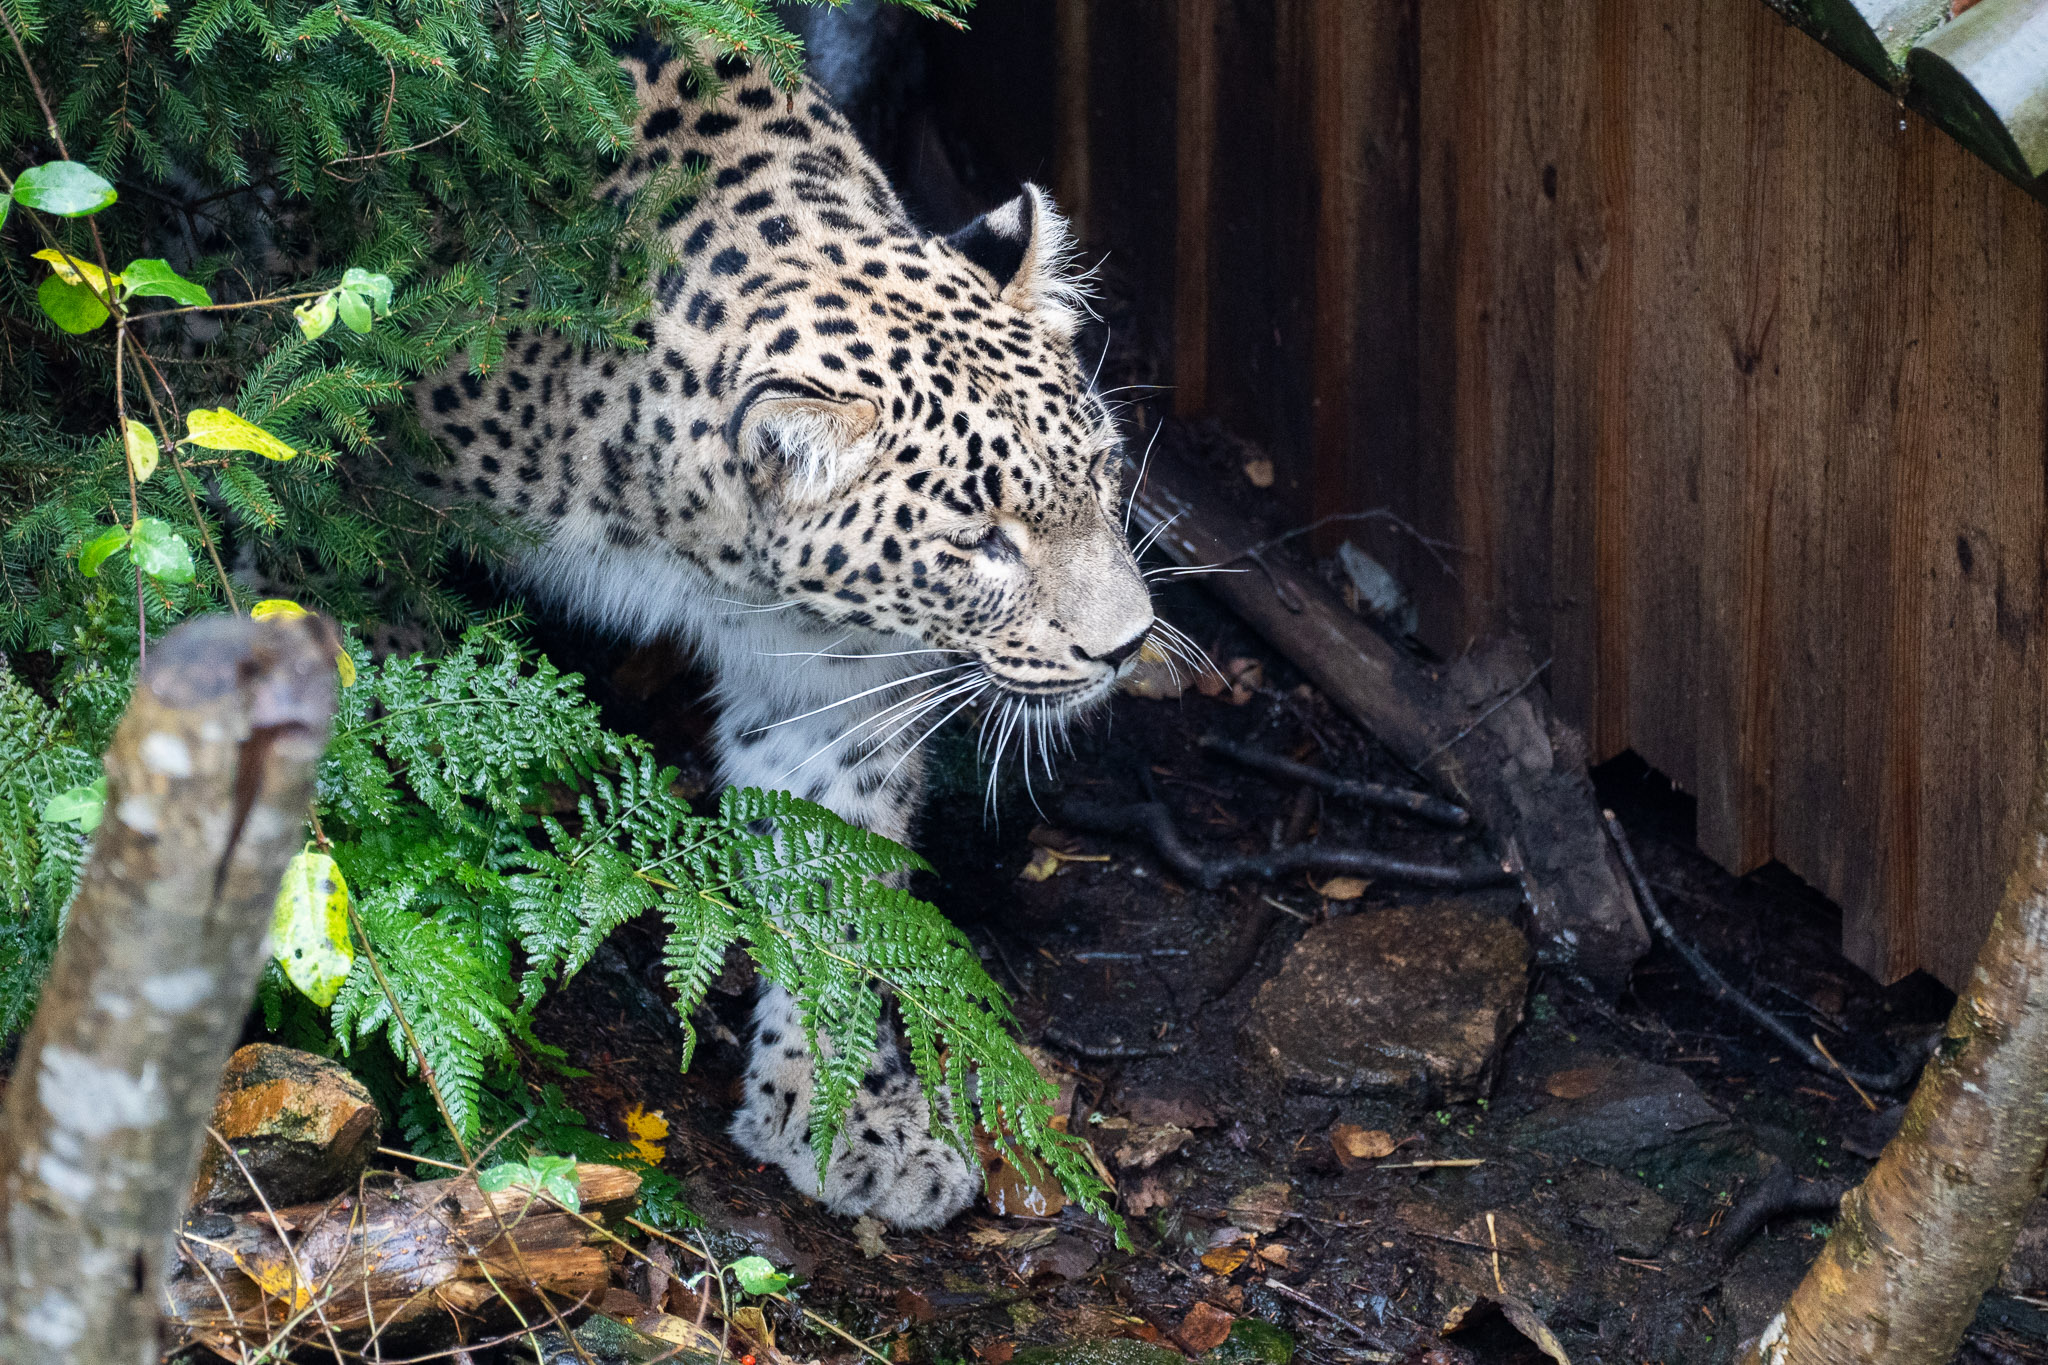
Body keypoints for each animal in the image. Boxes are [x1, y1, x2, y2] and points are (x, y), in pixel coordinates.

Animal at [415, 38, 1155, 1231]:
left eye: (1099, 471)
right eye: (981, 541)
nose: (1126, 646)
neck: (685, 546)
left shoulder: (828, 691)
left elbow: (833, 903)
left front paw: (845, 1113)